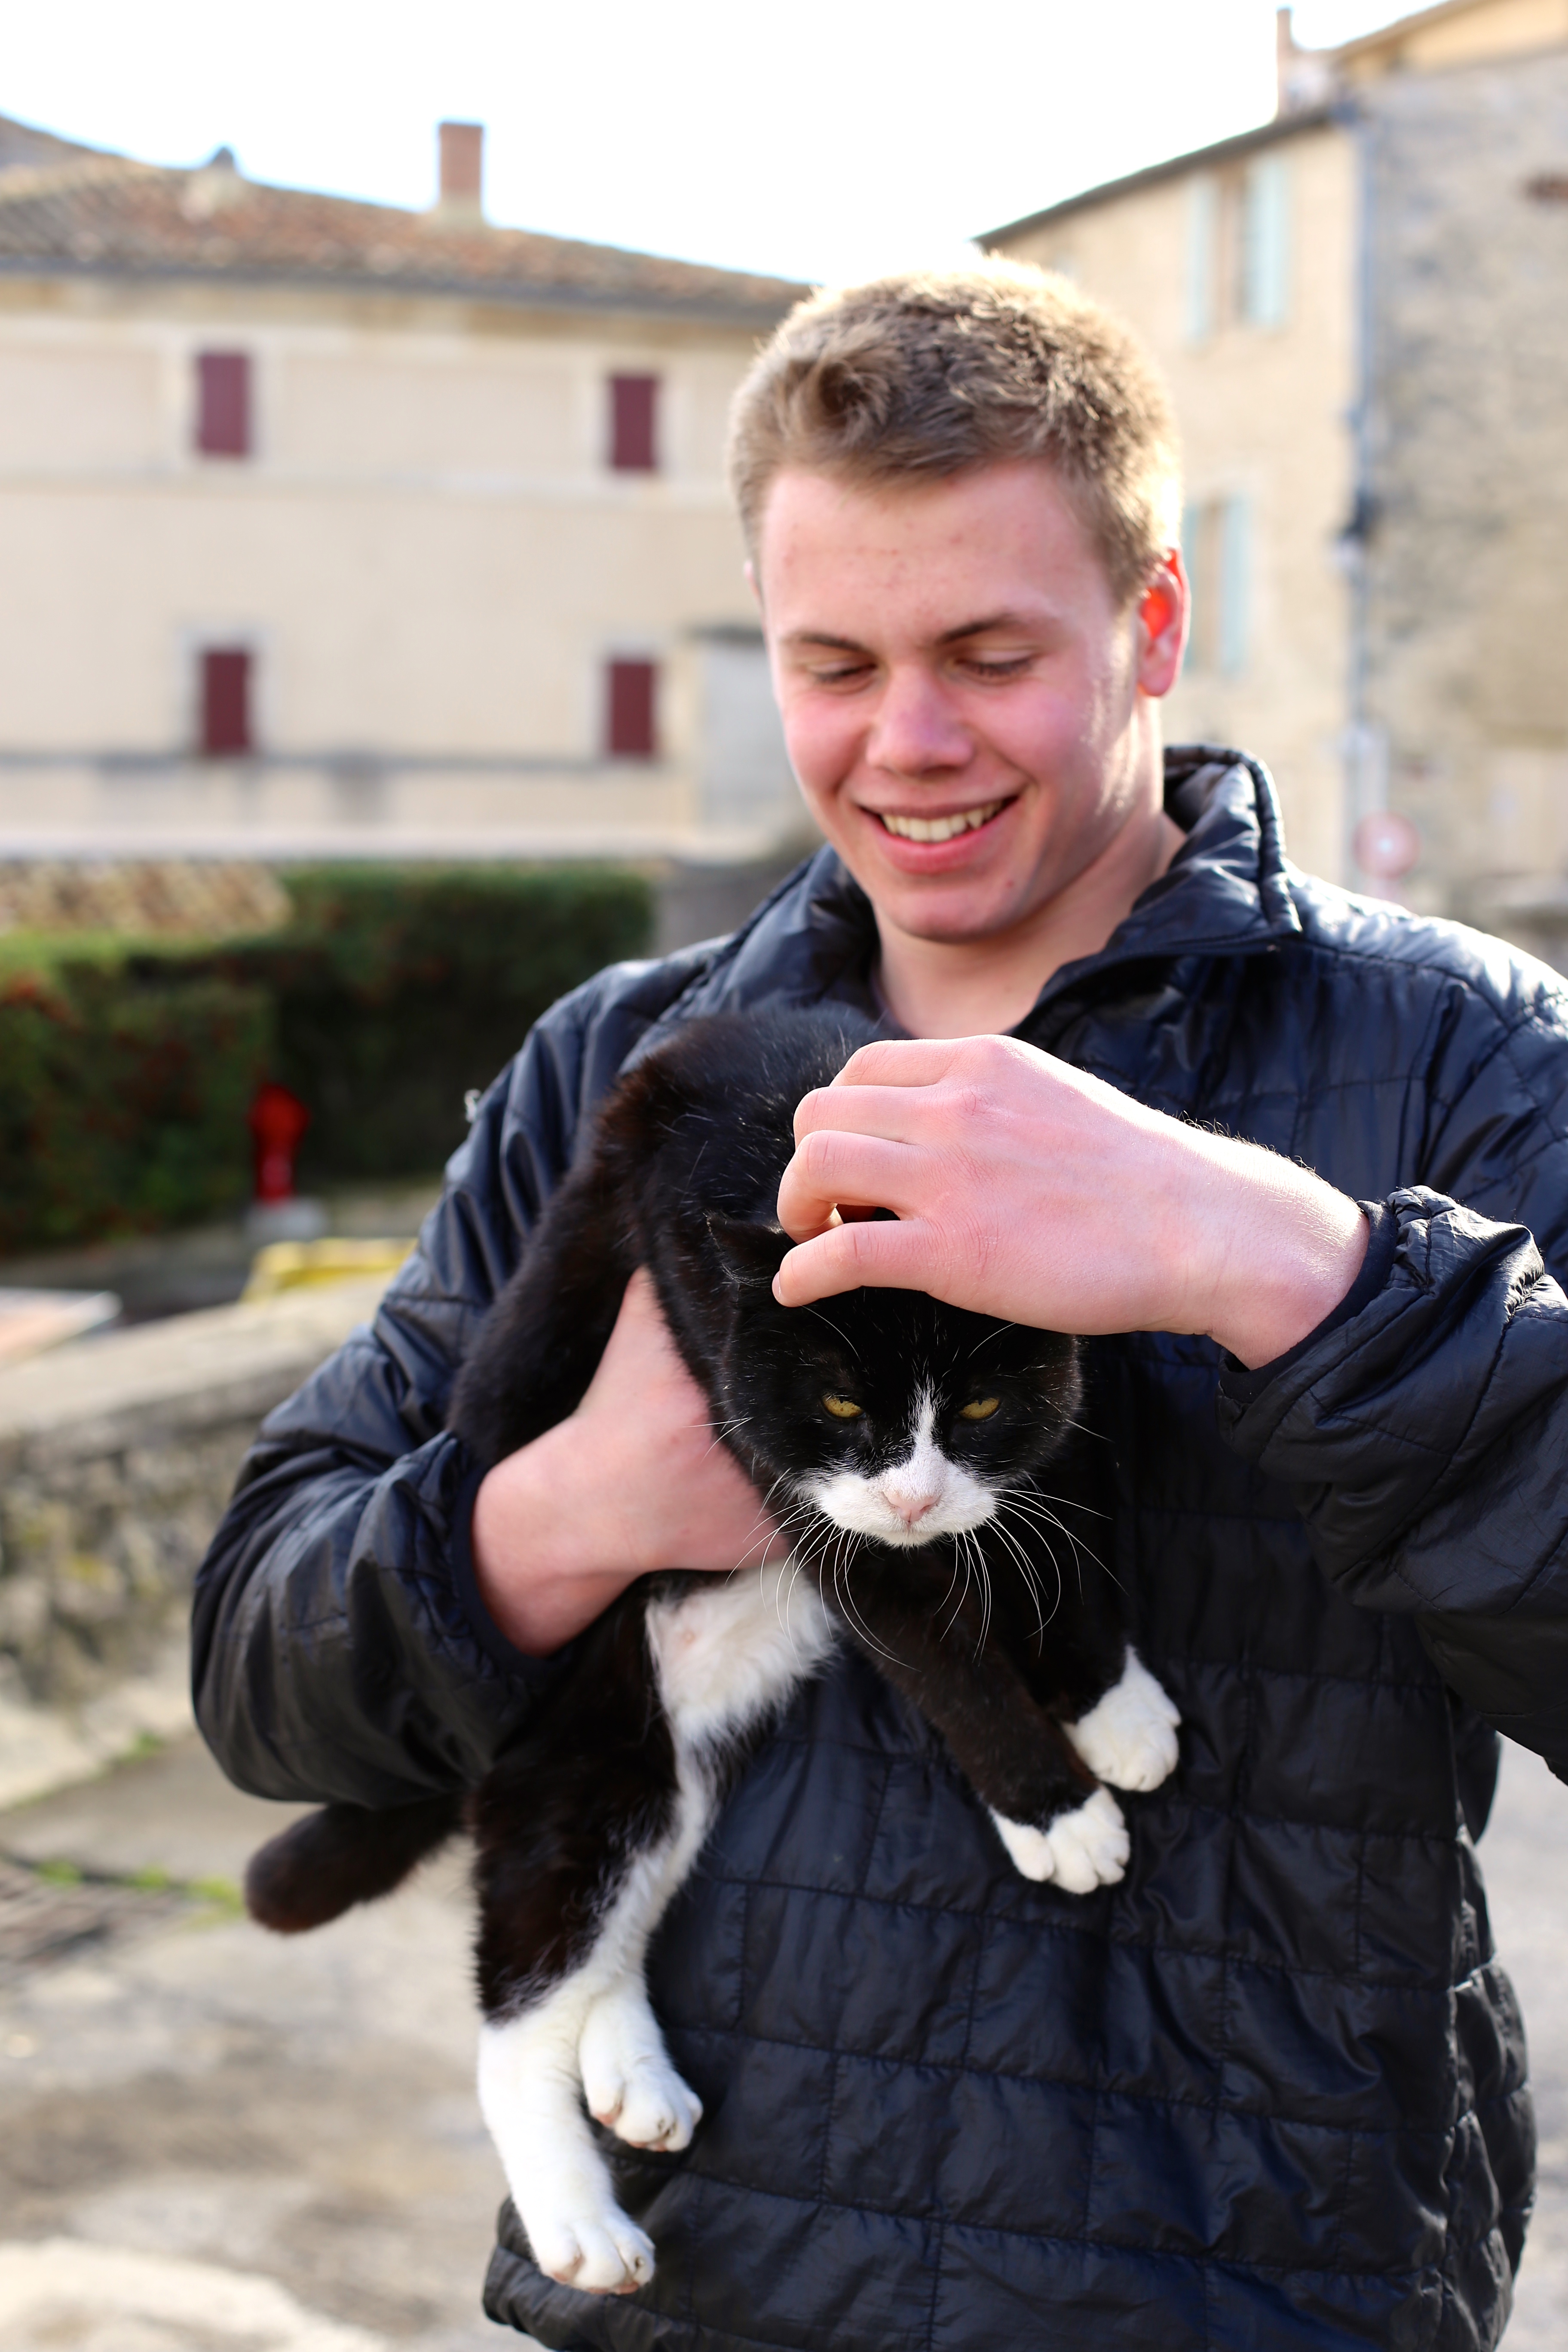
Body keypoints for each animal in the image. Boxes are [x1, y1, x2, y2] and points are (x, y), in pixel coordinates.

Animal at [248, 1007, 1175, 2295]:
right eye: (840, 1408)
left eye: (981, 1411)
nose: (914, 1497)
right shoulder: (759, 1413)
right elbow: (936, 1648)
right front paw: (1057, 1810)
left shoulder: (1063, 1374)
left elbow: (1070, 1513)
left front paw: (1113, 1706)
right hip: (575, 1732)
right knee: (519, 2003)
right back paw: (580, 2222)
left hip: (654, 1754)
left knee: (615, 1895)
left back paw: (630, 2073)